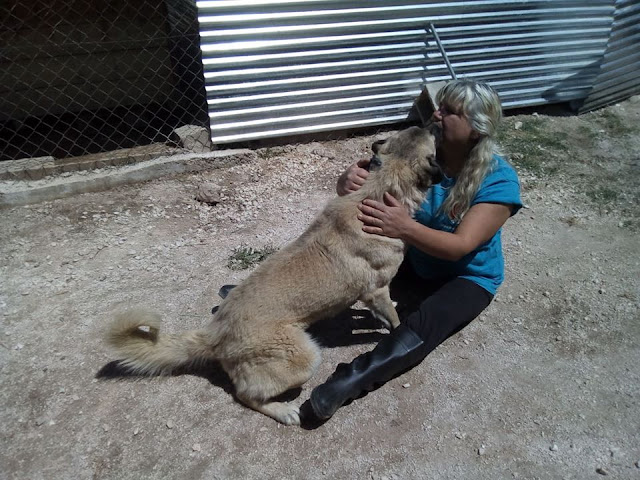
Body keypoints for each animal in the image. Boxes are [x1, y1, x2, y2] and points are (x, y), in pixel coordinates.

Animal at [105, 124, 442, 424]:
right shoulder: (377, 289)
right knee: (244, 395)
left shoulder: (372, 294)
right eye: (432, 140)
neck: (382, 187)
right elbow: (394, 321)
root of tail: (215, 332)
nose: (432, 121)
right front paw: (396, 329)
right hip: (304, 358)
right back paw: (283, 411)